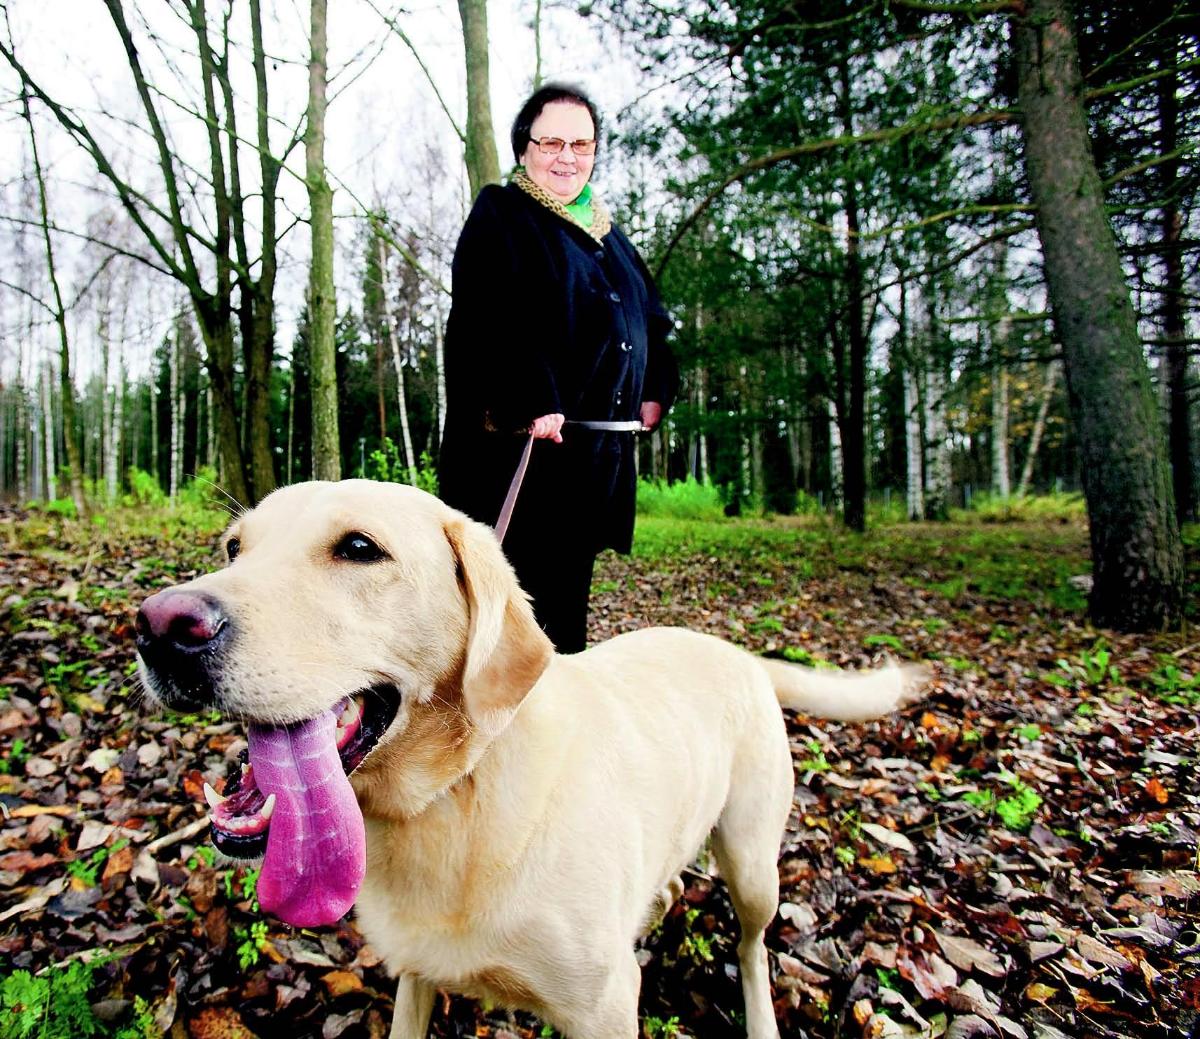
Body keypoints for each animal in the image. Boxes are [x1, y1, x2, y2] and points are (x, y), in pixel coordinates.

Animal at [136, 482, 921, 1031]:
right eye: (234, 547)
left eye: (359, 548)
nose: (159, 627)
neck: (455, 796)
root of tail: (742, 654)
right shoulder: (415, 979)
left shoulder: (605, 1010)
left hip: (755, 864)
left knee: (755, 949)